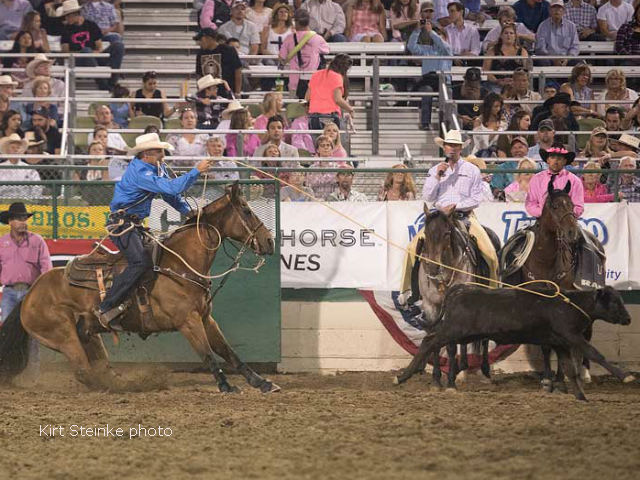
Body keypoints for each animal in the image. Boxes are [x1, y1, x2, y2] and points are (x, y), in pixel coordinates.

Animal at [0, 184, 280, 394]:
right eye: (247, 210)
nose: (269, 241)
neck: (178, 263)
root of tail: (30, 294)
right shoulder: (188, 322)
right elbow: (208, 354)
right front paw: (225, 385)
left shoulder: (205, 318)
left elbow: (228, 352)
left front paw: (261, 382)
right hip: (64, 336)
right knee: (84, 372)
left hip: (89, 335)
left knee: (99, 367)